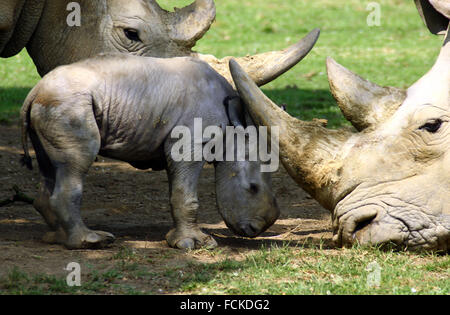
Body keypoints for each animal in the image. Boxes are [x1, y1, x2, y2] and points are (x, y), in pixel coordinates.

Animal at [22, 55, 282, 252]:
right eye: (252, 188)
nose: (256, 230)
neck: (233, 128)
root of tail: (34, 92)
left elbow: (177, 190)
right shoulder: (190, 140)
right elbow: (186, 194)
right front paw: (195, 244)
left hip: (55, 105)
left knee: (50, 166)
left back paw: (57, 238)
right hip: (68, 105)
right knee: (77, 162)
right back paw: (92, 241)